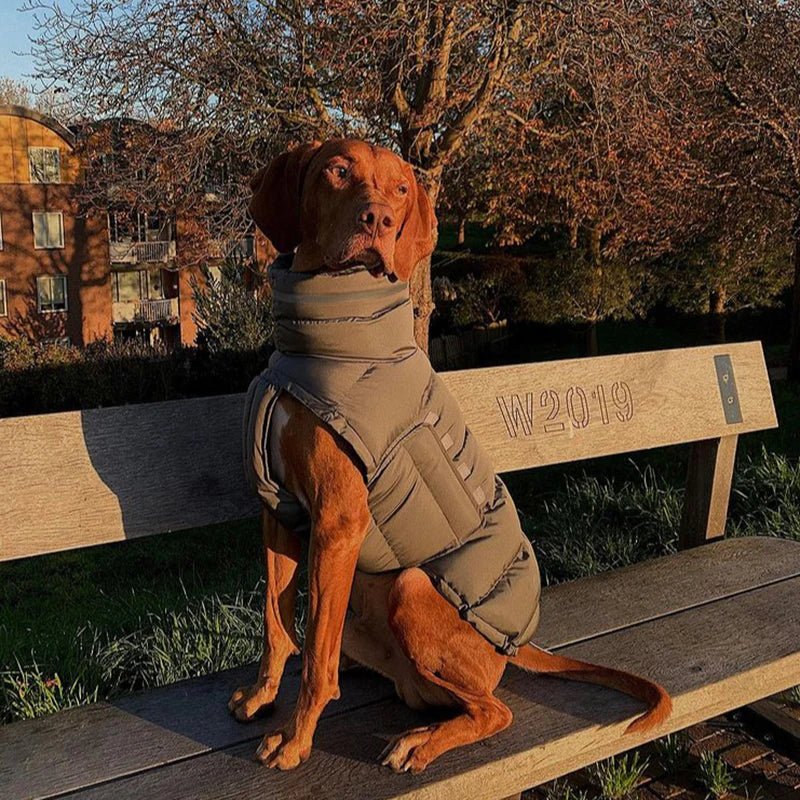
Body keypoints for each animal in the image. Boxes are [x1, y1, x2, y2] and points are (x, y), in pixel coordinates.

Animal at [227, 141, 668, 772]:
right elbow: (276, 620)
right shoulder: (280, 508)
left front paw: (295, 739)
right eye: (338, 169)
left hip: (411, 588)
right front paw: (263, 696)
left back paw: (421, 741)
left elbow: (313, 657)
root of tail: (513, 646)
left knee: (493, 710)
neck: (331, 336)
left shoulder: (338, 521)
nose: (379, 220)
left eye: (401, 189)